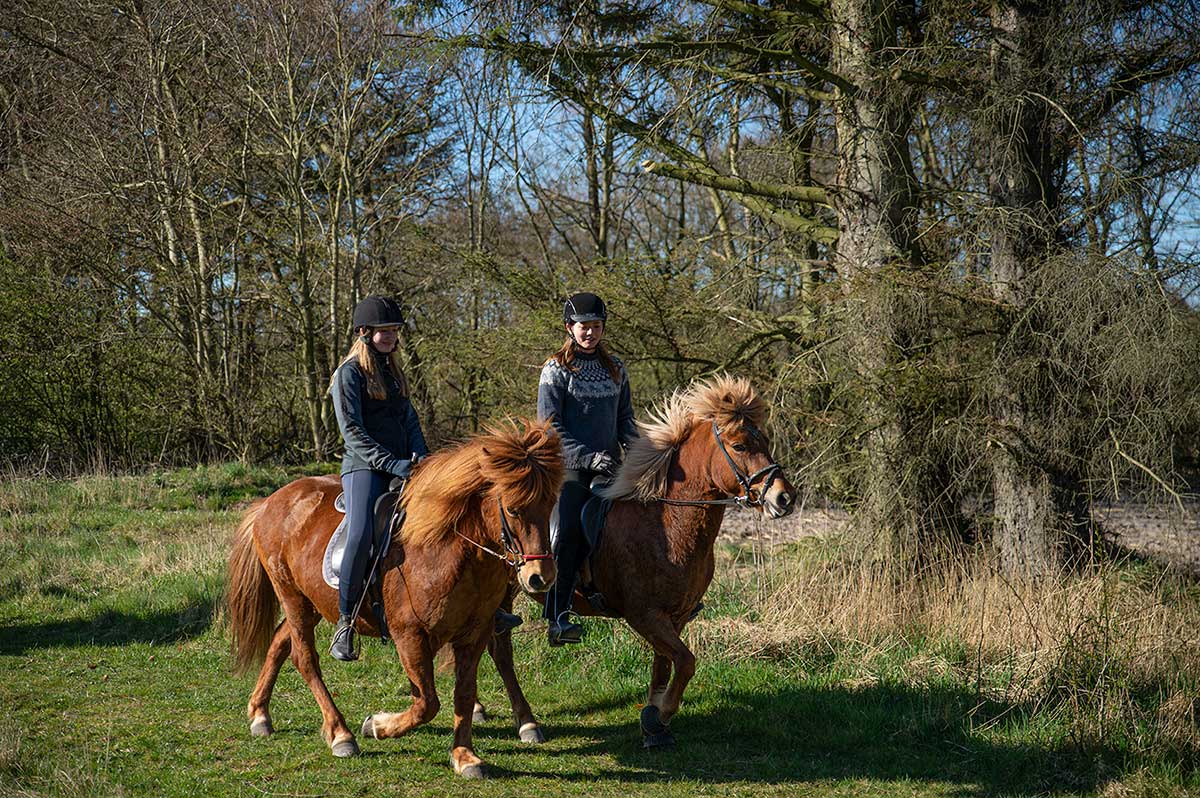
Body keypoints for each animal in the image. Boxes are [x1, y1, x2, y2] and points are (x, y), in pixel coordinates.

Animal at [228, 420, 561, 772]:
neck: (447, 548)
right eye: (513, 509)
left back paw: (260, 714)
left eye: (550, 504)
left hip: (311, 601)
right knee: (304, 659)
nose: (541, 577)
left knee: (280, 641)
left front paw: (464, 755)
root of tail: (270, 502)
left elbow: (464, 692)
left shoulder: (474, 633)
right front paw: (376, 725)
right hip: (292, 596)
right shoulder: (409, 634)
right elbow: (427, 703)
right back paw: (341, 734)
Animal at [477, 374, 796, 748]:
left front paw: (653, 724)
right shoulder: (643, 614)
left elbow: (665, 666)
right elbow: (686, 662)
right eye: (740, 445)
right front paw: (660, 716)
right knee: (498, 648)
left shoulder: (675, 617)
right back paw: (524, 721)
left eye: (764, 441)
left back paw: (488, 710)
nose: (784, 497)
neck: (666, 522)